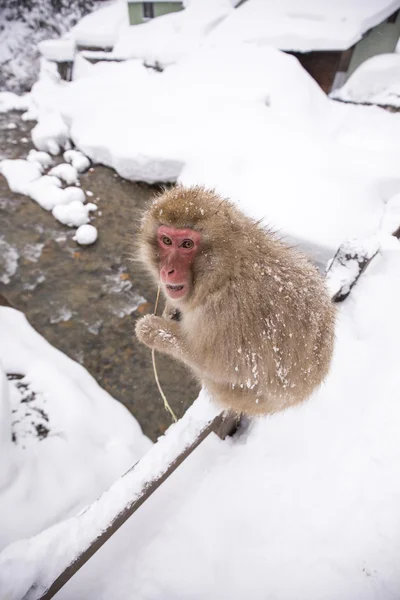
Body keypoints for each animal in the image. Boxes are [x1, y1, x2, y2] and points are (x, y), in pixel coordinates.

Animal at [134, 185, 334, 414]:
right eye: (166, 241)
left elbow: (218, 364)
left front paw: (150, 330)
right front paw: (171, 310)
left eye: (186, 244)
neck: (227, 270)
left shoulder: (229, 313)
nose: (168, 270)